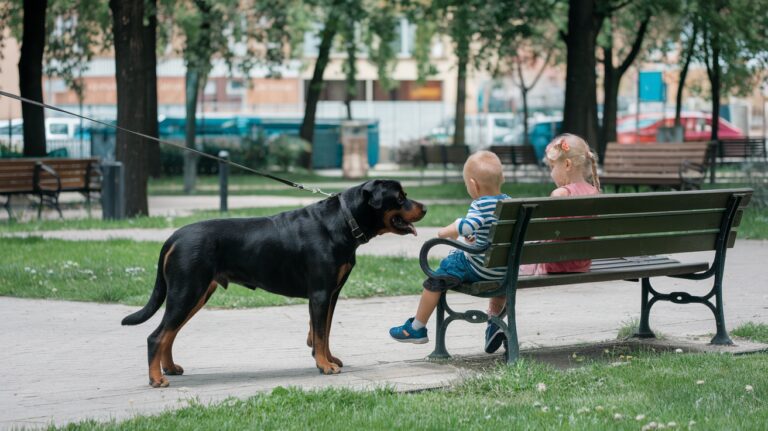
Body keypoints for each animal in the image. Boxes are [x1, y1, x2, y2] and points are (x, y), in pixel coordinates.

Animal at [123, 181, 428, 390]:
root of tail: (173, 237)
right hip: (188, 291)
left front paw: (329, 358)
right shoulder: (320, 294)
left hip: (195, 294)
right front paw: (324, 365)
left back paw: (170, 368)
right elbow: (319, 333)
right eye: (400, 198)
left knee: (169, 334)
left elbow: (325, 332)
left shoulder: (332, 294)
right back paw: (156, 379)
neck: (344, 220)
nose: (425, 207)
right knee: (157, 336)